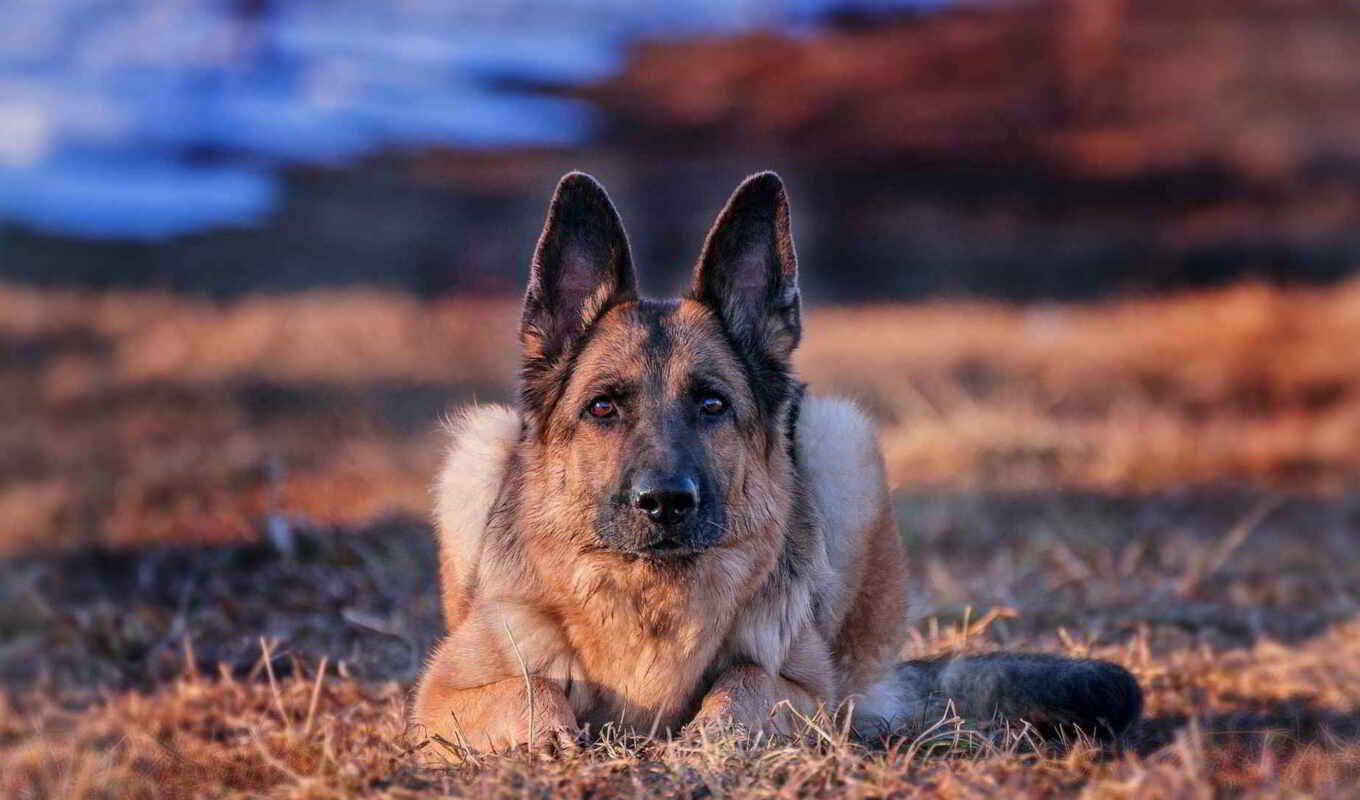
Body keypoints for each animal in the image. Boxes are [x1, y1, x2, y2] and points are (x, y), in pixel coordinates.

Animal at [410, 173, 1136, 751]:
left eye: (711, 404)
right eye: (602, 407)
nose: (665, 502)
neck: (651, 595)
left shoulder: (803, 689)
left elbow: (745, 684)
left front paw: (708, 741)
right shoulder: (441, 695)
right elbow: (528, 691)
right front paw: (553, 740)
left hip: (842, 440)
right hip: (477, 442)